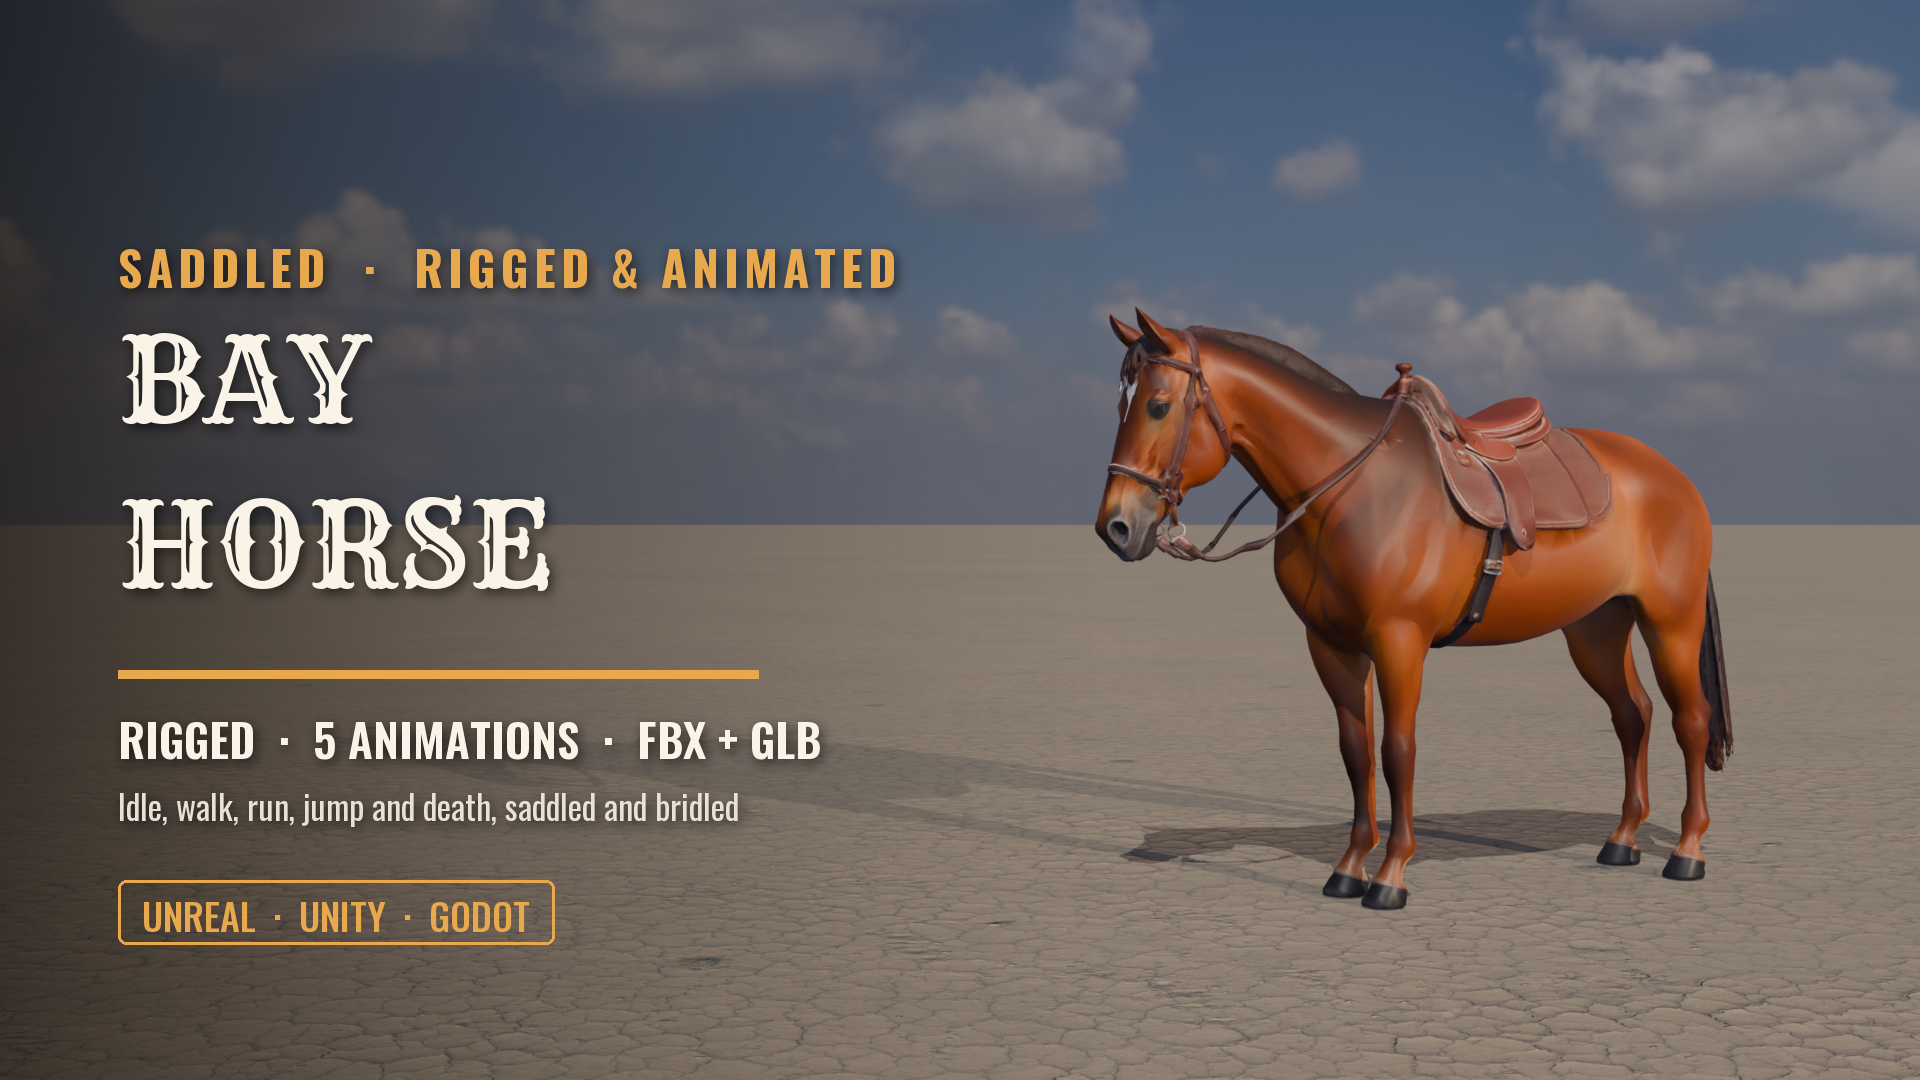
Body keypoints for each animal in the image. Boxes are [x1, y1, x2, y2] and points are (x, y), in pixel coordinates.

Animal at [1094, 310, 1730, 910]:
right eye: (1120, 407)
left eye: (1157, 405)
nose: (1116, 528)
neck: (1353, 490)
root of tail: (1674, 477)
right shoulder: (1331, 646)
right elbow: (1356, 752)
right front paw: (1348, 869)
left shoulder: (1399, 640)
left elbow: (1398, 750)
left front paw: (1391, 876)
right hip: (1597, 627)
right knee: (1633, 715)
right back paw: (1621, 842)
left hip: (1669, 622)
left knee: (1691, 721)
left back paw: (1687, 852)